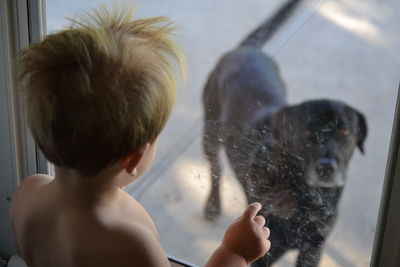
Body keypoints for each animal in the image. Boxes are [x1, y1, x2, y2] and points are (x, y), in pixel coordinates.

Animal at [202, 1, 368, 266]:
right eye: (307, 132)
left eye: (344, 131)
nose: (326, 167)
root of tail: (247, 50)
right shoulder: (266, 251)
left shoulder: (313, 248)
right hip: (210, 131)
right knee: (215, 167)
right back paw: (213, 205)